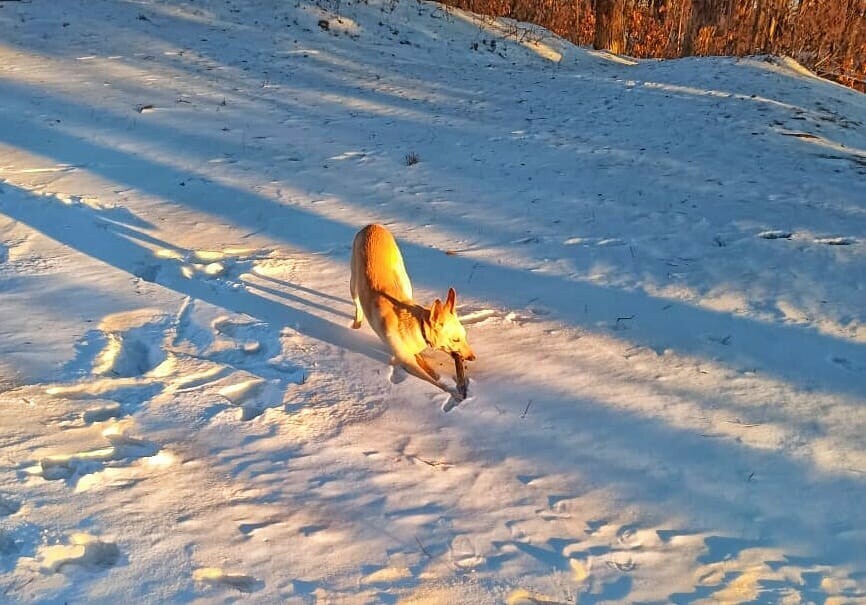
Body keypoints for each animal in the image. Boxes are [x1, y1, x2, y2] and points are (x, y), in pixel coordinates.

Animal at [348, 223, 476, 402]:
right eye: (455, 339)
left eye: (465, 336)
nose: (472, 357)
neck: (417, 325)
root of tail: (372, 226)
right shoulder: (406, 361)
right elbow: (432, 381)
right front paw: (451, 392)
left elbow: (428, 368)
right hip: (354, 282)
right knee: (358, 304)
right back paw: (356, 324)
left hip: (402, 276)